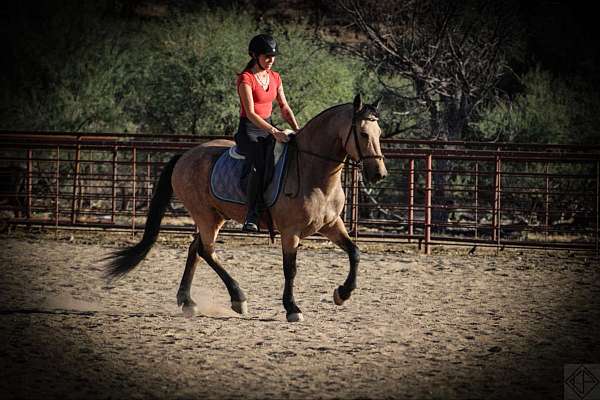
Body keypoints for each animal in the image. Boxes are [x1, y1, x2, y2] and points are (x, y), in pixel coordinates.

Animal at [105, 95, 386, 324]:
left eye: (380, 133)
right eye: (363, 134)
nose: (379, 174)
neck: (311, 171)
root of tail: (185, 155)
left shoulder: (331, 225)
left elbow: (355, 253)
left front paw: (342, 293)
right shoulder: (290, 232)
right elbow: (290, 269)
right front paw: (292, 308)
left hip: (213, 216)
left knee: (196, 249)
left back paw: (188, 301)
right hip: (206, 216)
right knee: (206, 251)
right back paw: (237, 298)